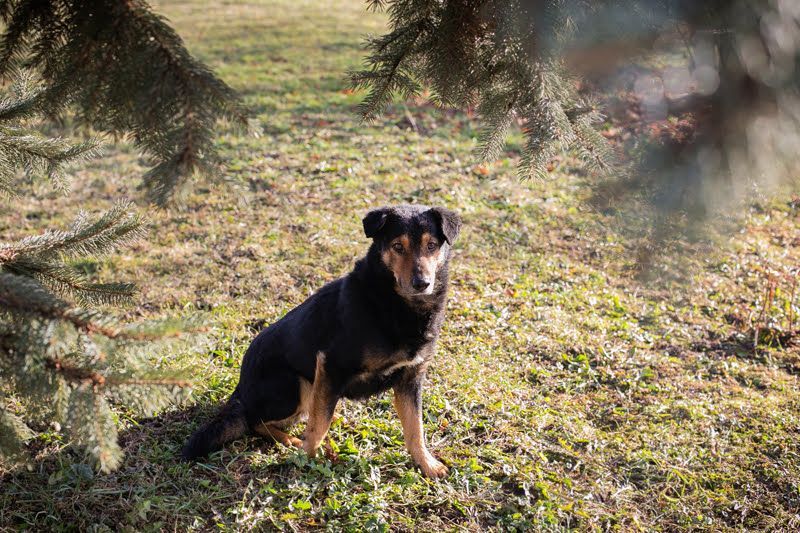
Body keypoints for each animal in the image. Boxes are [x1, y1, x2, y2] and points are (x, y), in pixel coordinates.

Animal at [181, 204, 461, 478]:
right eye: (397, 247)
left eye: (431, 245)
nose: (422, 283)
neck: (395, 304)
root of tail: (240, 390)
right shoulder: (330, 364)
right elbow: (318, 426)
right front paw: (305, 458)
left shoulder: (411, 377)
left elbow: (416, 428)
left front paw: (426, 463)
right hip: (295, 385)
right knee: (257, 422)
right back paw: (290, 439)